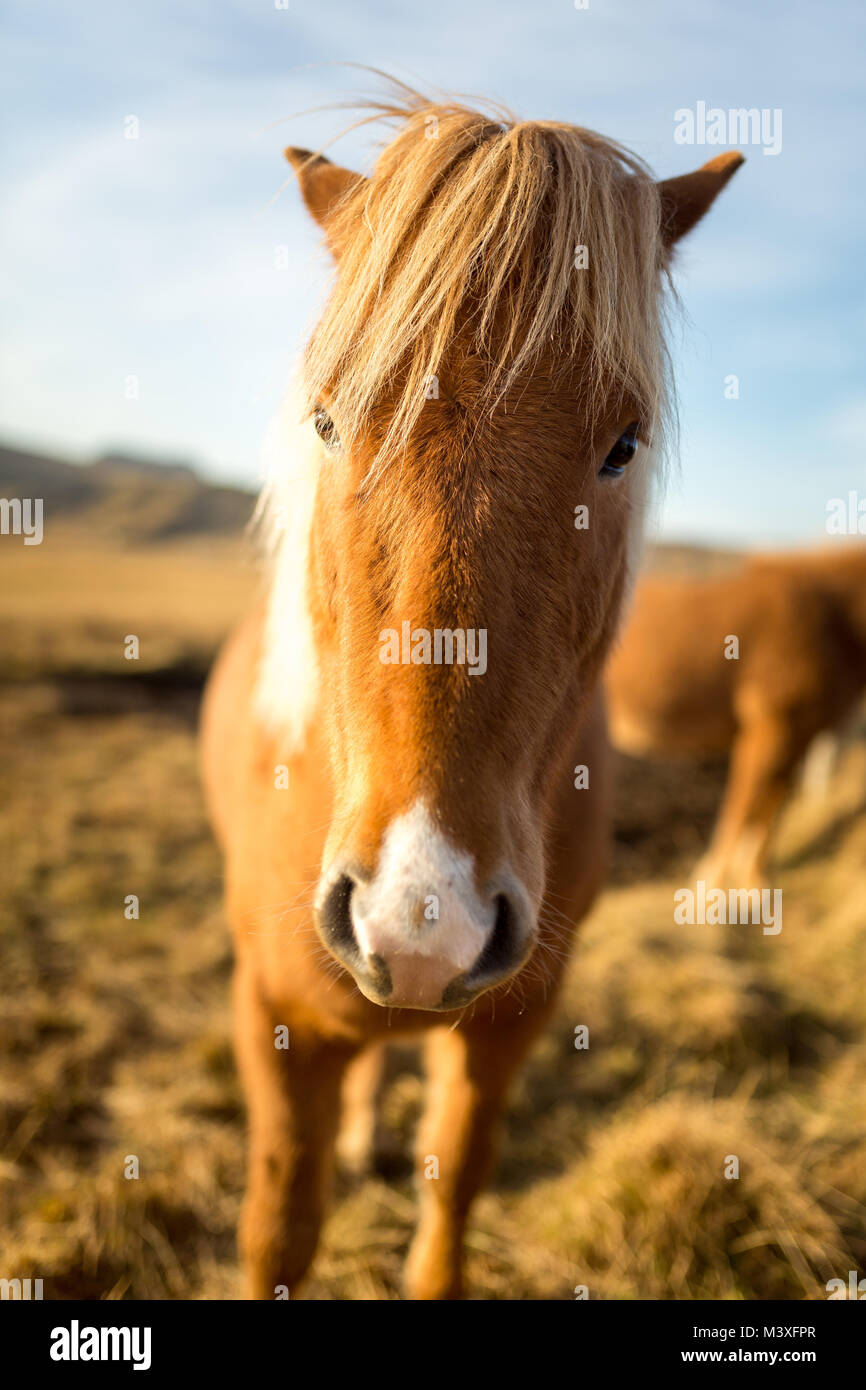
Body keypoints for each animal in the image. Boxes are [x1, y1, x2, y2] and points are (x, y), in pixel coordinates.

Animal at [200, 92, 739, 1295]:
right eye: (327, 420)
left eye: (622, 445)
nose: (424, 914)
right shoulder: (273, 1020)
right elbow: (277, 1225)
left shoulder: (511, 1021)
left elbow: (455, 1176)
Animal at [606, 544, 866, 884]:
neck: (832, 615)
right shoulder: (768, 728)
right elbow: (741, 810)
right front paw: (711, 886)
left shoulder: (798, 736)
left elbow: (770, 810)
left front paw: (754, 882)